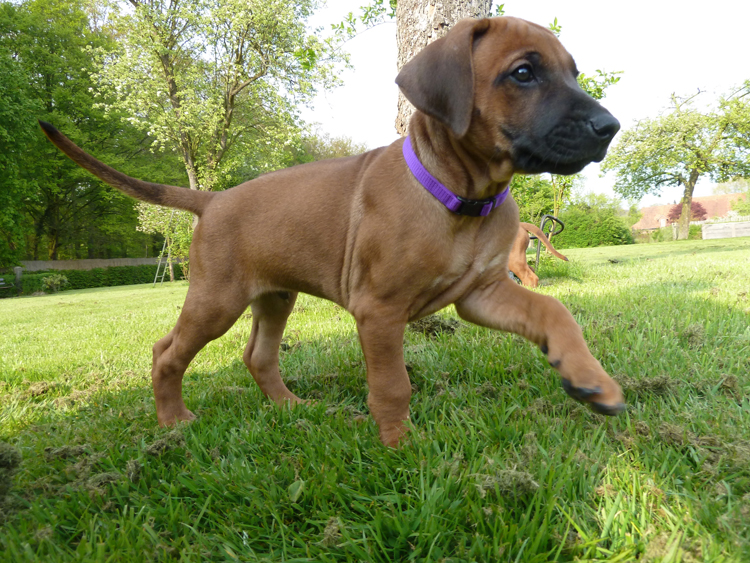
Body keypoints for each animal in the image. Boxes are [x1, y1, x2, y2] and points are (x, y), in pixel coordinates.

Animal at [40, 16, 624, 447]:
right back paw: (173, 423)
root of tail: (214, 197)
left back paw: (290, 407)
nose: (610, 128)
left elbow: (553, 310)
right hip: (216, 298)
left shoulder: (482, 291)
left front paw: (592, 380)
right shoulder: (379, 309)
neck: (464, 196)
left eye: (574, 74)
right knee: (167, 352)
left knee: (258, 356)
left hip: (275, 296)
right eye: (523, 73)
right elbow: (392, 384)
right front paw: (400, 448)